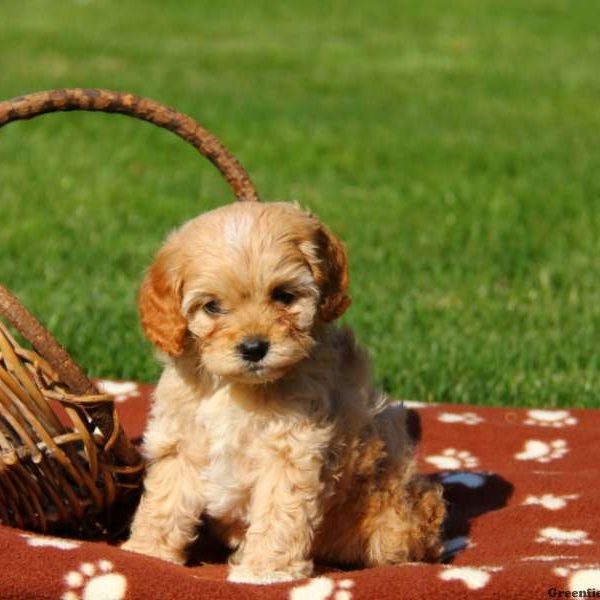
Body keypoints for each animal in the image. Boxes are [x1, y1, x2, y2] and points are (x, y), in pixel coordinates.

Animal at [122, 200, 442, 580]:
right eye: (212, 306)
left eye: (283, 296)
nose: (254, 348)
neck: (236, 387)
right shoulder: (180, 440)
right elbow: (165, 501)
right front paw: (147, 553)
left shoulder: (291, 449)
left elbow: (280, 512)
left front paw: (265, 572)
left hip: (393, 521)